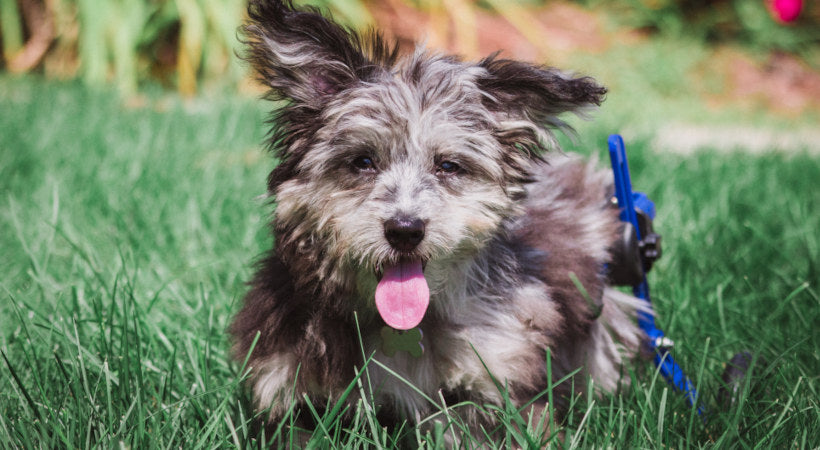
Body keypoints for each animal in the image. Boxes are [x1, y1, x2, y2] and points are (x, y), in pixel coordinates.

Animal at [231, 0, 648, 438]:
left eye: (448, 166)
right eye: (362, 161)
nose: (405, 230)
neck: (403, 326)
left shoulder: (499, 371)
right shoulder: (292, 391)